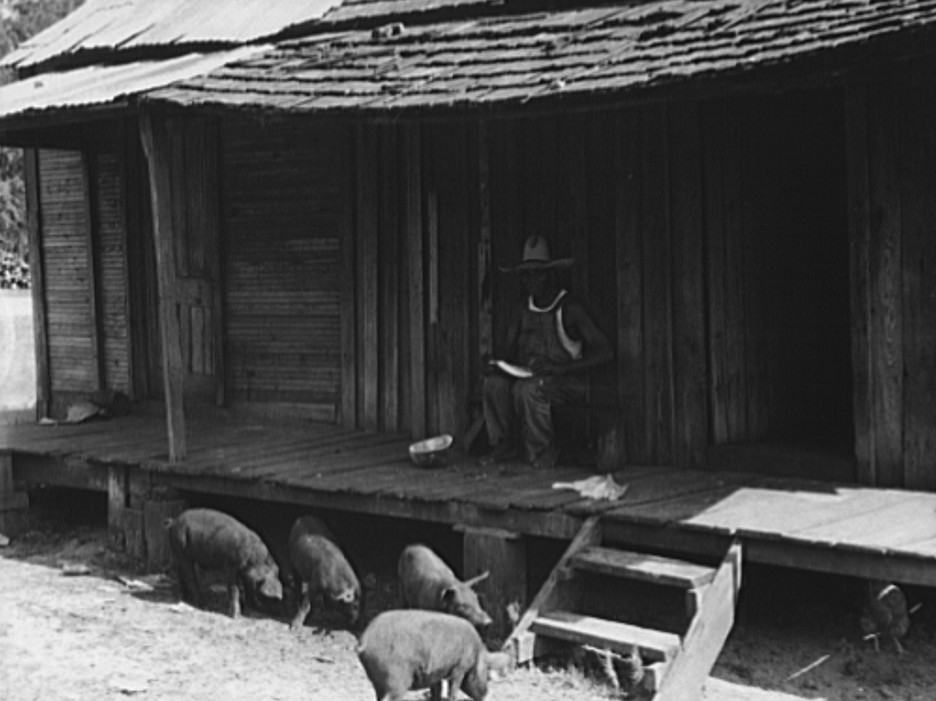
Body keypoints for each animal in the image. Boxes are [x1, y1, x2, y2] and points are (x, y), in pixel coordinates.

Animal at [354, 608, 512, 700]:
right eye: (487, 674)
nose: (489, 695)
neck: (477, 652)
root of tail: (364, 642)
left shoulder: (436, 674)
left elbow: (436, 691)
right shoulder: (460, 668)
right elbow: (453, 690)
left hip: (378, 683)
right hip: (395, 680)